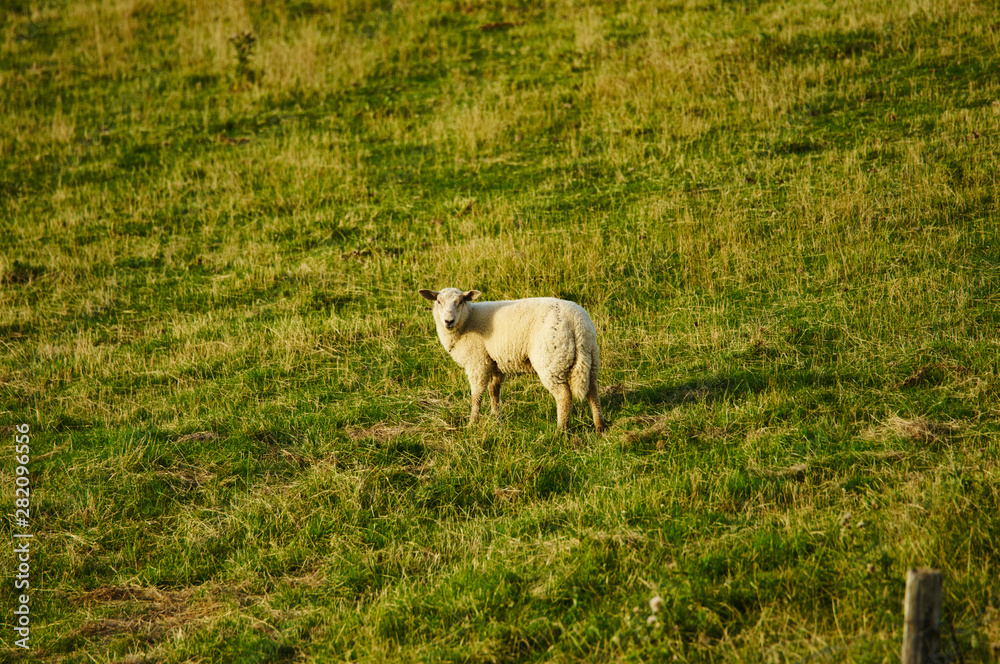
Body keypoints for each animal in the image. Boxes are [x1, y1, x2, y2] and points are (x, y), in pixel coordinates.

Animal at [418, 287, 606, 432]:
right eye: (438, 302)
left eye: (460, 301)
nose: (448, 321)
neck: (466, 322)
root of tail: (577, 322)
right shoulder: (495, 362)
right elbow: (494, 390)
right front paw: (496, 416)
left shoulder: (477, 362)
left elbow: (476, 396)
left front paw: (472, 424)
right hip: (590, 357)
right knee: (592, 390)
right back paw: (599, 426)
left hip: (551, 360)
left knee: (564, 396)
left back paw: (561, 430)